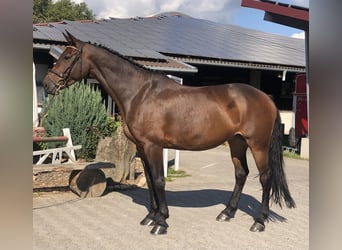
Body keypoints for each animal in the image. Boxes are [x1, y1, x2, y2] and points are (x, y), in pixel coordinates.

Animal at [42, 31, 294, 234]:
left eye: (67, 57)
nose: (46, 84)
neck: (139, 93)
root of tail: (265, 98)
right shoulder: (142, 147)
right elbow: (150, 180)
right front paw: (150, 216)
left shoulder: (153, 145)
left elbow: (159, 180)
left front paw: (161, 222)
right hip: (237, 142)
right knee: (241, 174)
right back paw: (227, 212)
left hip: (257, 144)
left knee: (265, 177)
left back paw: (259, 222)